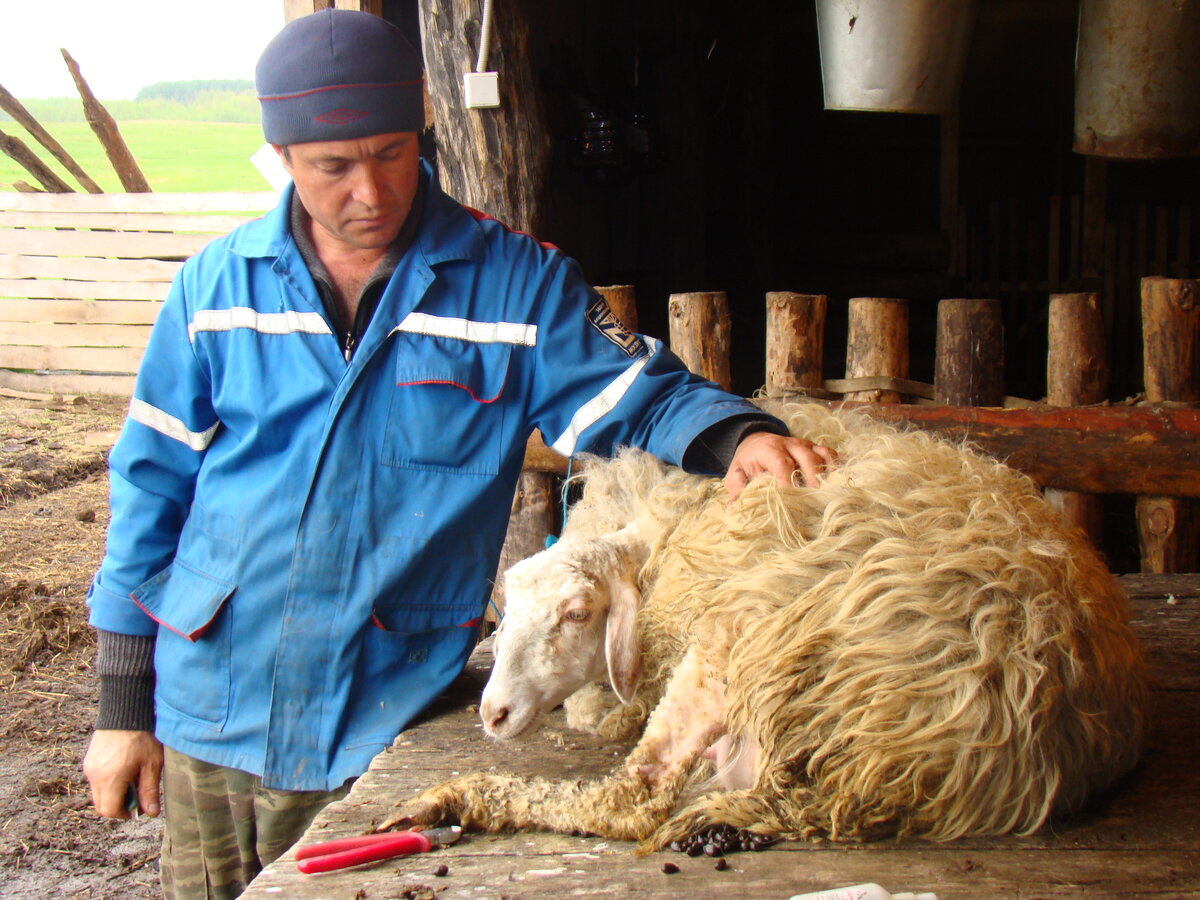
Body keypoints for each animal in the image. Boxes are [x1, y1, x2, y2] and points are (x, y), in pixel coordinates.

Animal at [388, 403, 1147, 854]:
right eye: (508, 607)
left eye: (577, 612)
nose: (493, 713)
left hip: (740, 643)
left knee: (633, 800)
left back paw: (455, 796)